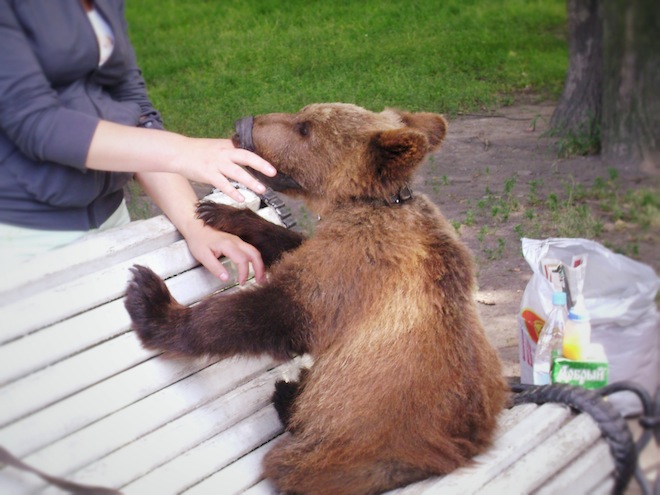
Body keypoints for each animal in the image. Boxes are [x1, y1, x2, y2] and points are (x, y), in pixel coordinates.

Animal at [124, 103, 508, 495]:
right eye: (301, 114)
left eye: (305, 127)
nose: (242, 125)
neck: (364, 200)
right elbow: (290, 243)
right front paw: (223, 213)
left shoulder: (354, 271)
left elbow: (266, 314)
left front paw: (150, 301)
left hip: (351, 443)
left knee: (294, 459)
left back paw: (286, 395)